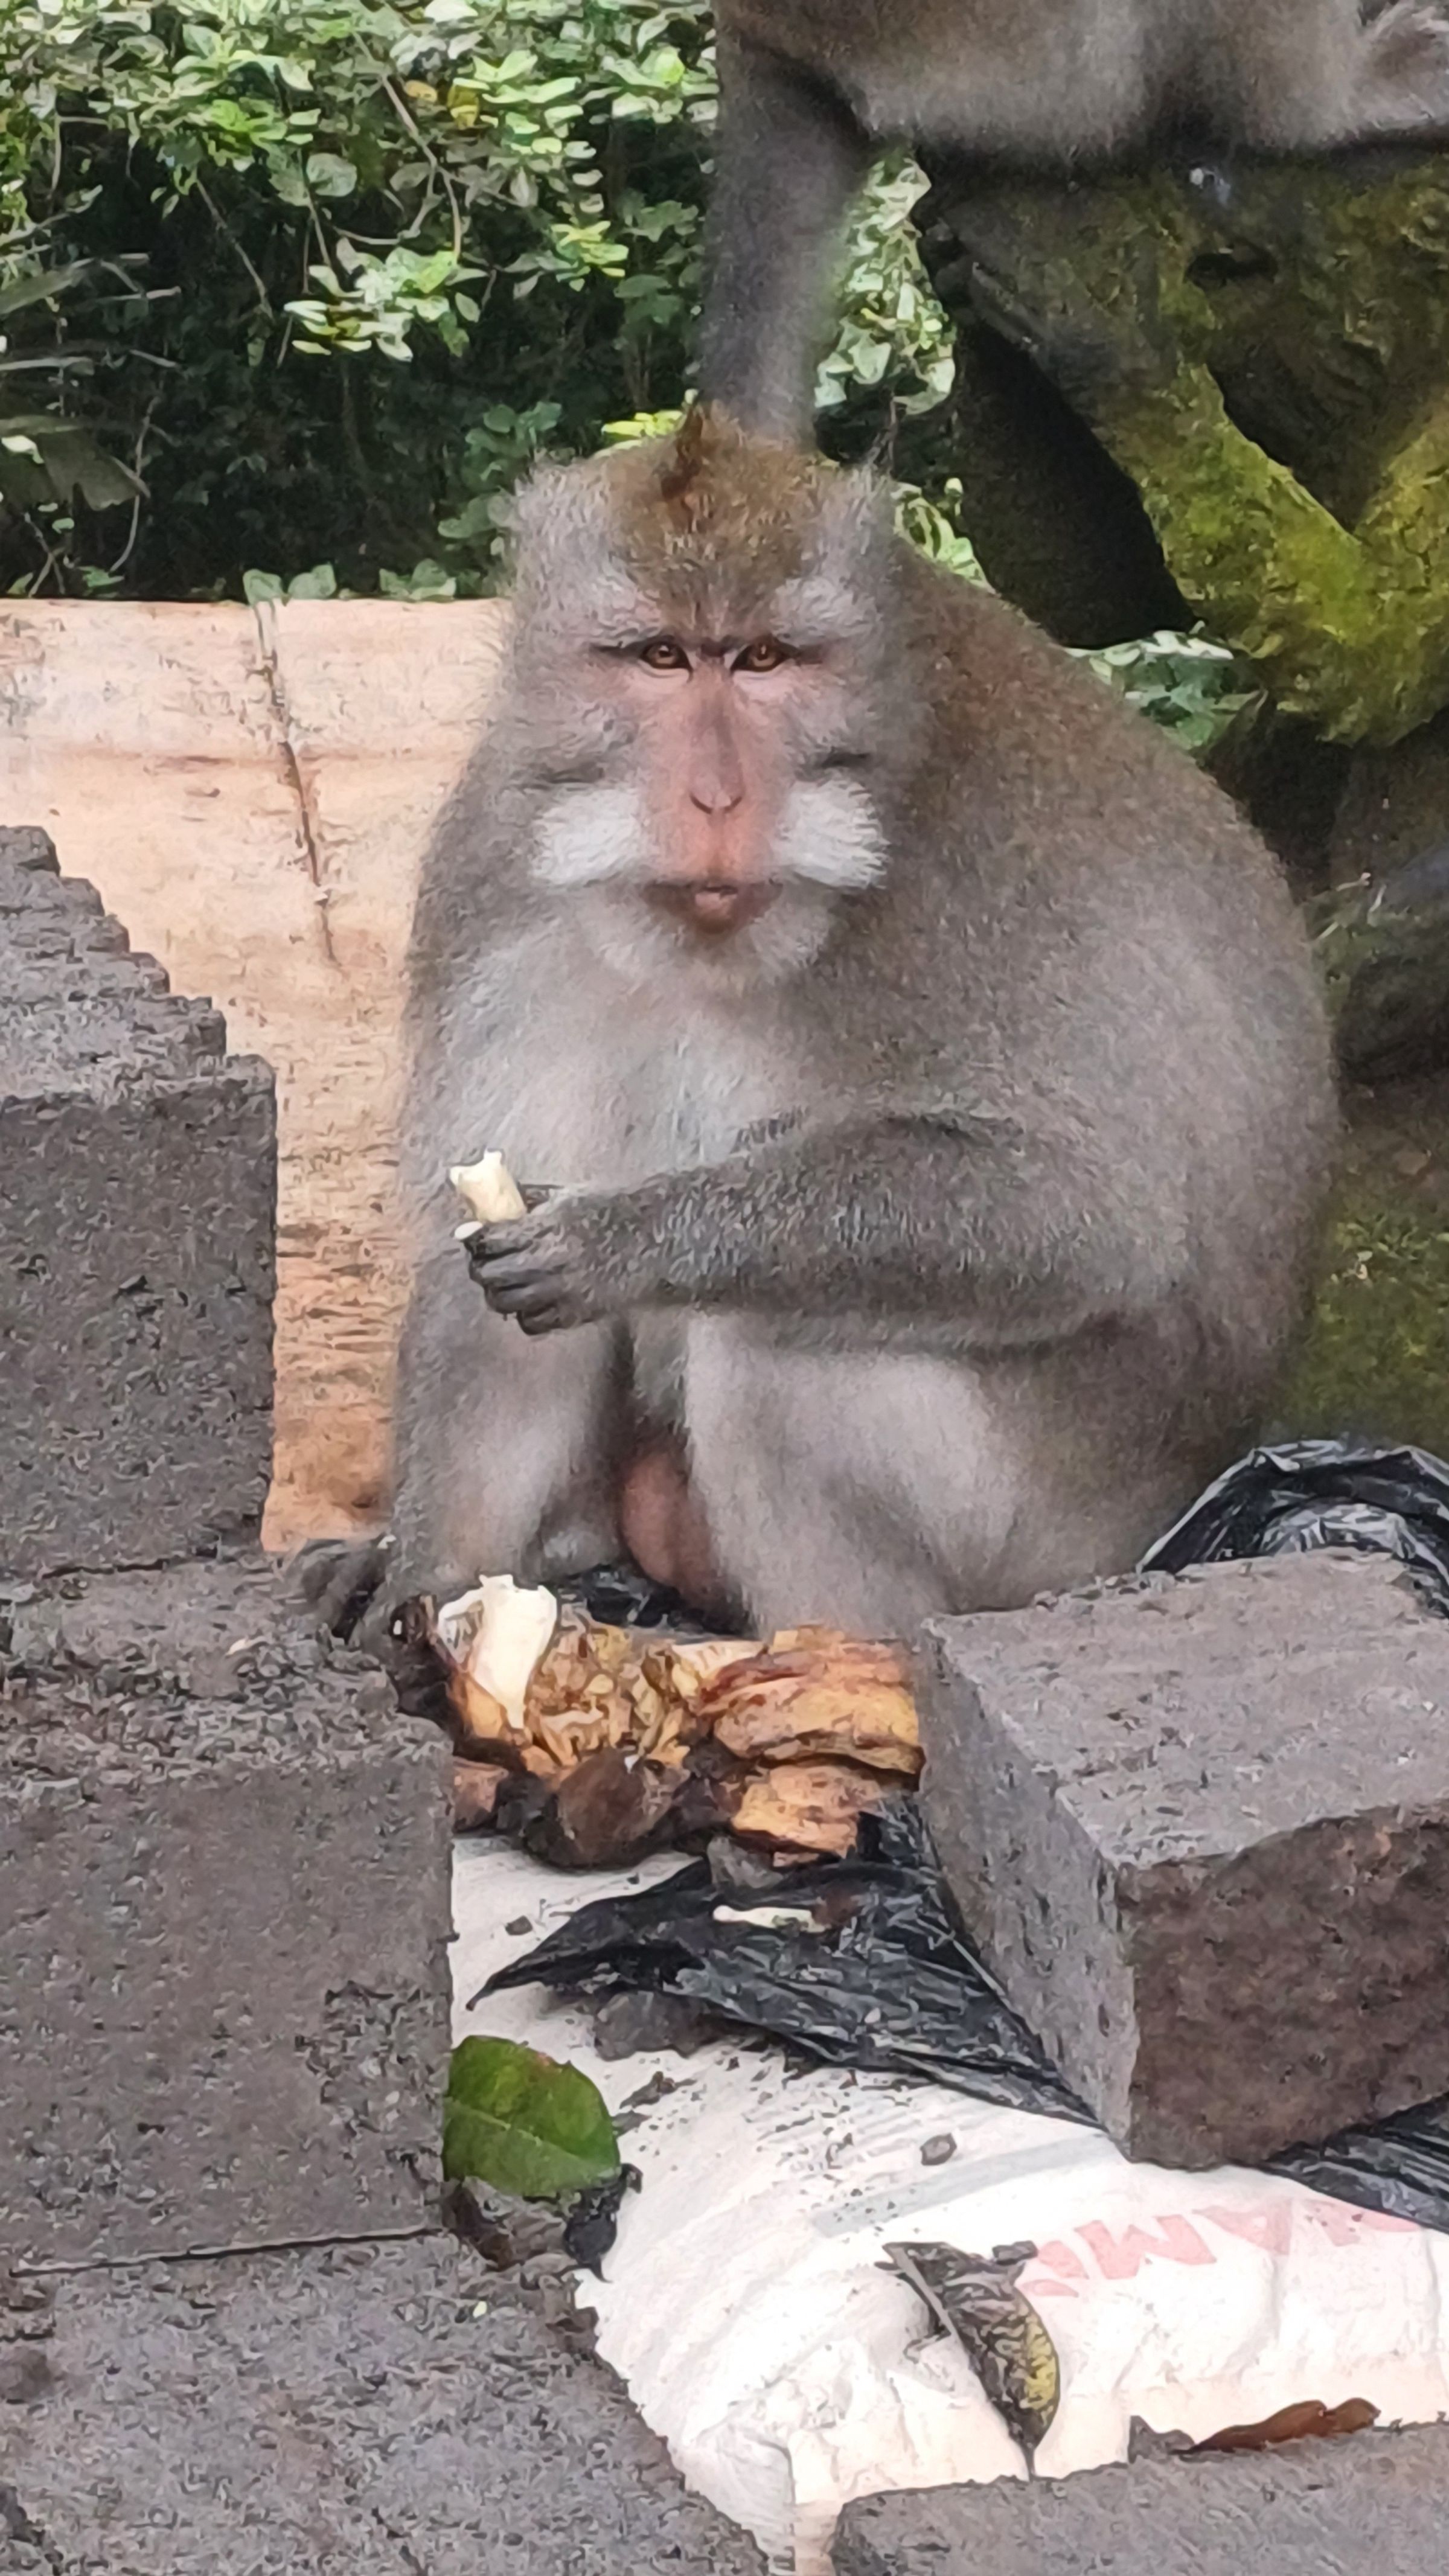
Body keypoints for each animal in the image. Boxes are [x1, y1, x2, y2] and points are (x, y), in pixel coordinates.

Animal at [298, 408, 1335, 1647]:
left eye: (766, 660)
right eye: (660, 657)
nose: (716, 798)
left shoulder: (961, 896)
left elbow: (1087, 1215)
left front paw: (625, 1236)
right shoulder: (491, 876)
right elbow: (485, 1265)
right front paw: (422, 1567)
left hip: (1064, 1525)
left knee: (778, 1346)